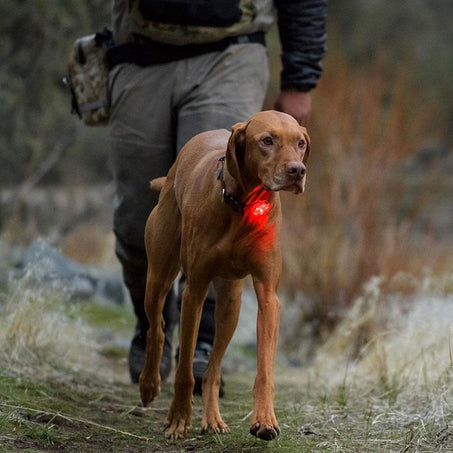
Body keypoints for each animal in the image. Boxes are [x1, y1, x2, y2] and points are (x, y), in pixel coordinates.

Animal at [139, 111, 308, 440]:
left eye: (301, 143)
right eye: (267, 140)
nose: (298, 171)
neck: (243, 205)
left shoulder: (268, 296)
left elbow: (264, 370)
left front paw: (265, 420)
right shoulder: (194, 290)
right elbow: (184, 370)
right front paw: (179, 418)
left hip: (231, 304)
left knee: (213, 366)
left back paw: (213, 418)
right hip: (158, 277)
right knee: (158, 328)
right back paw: (149, 384)